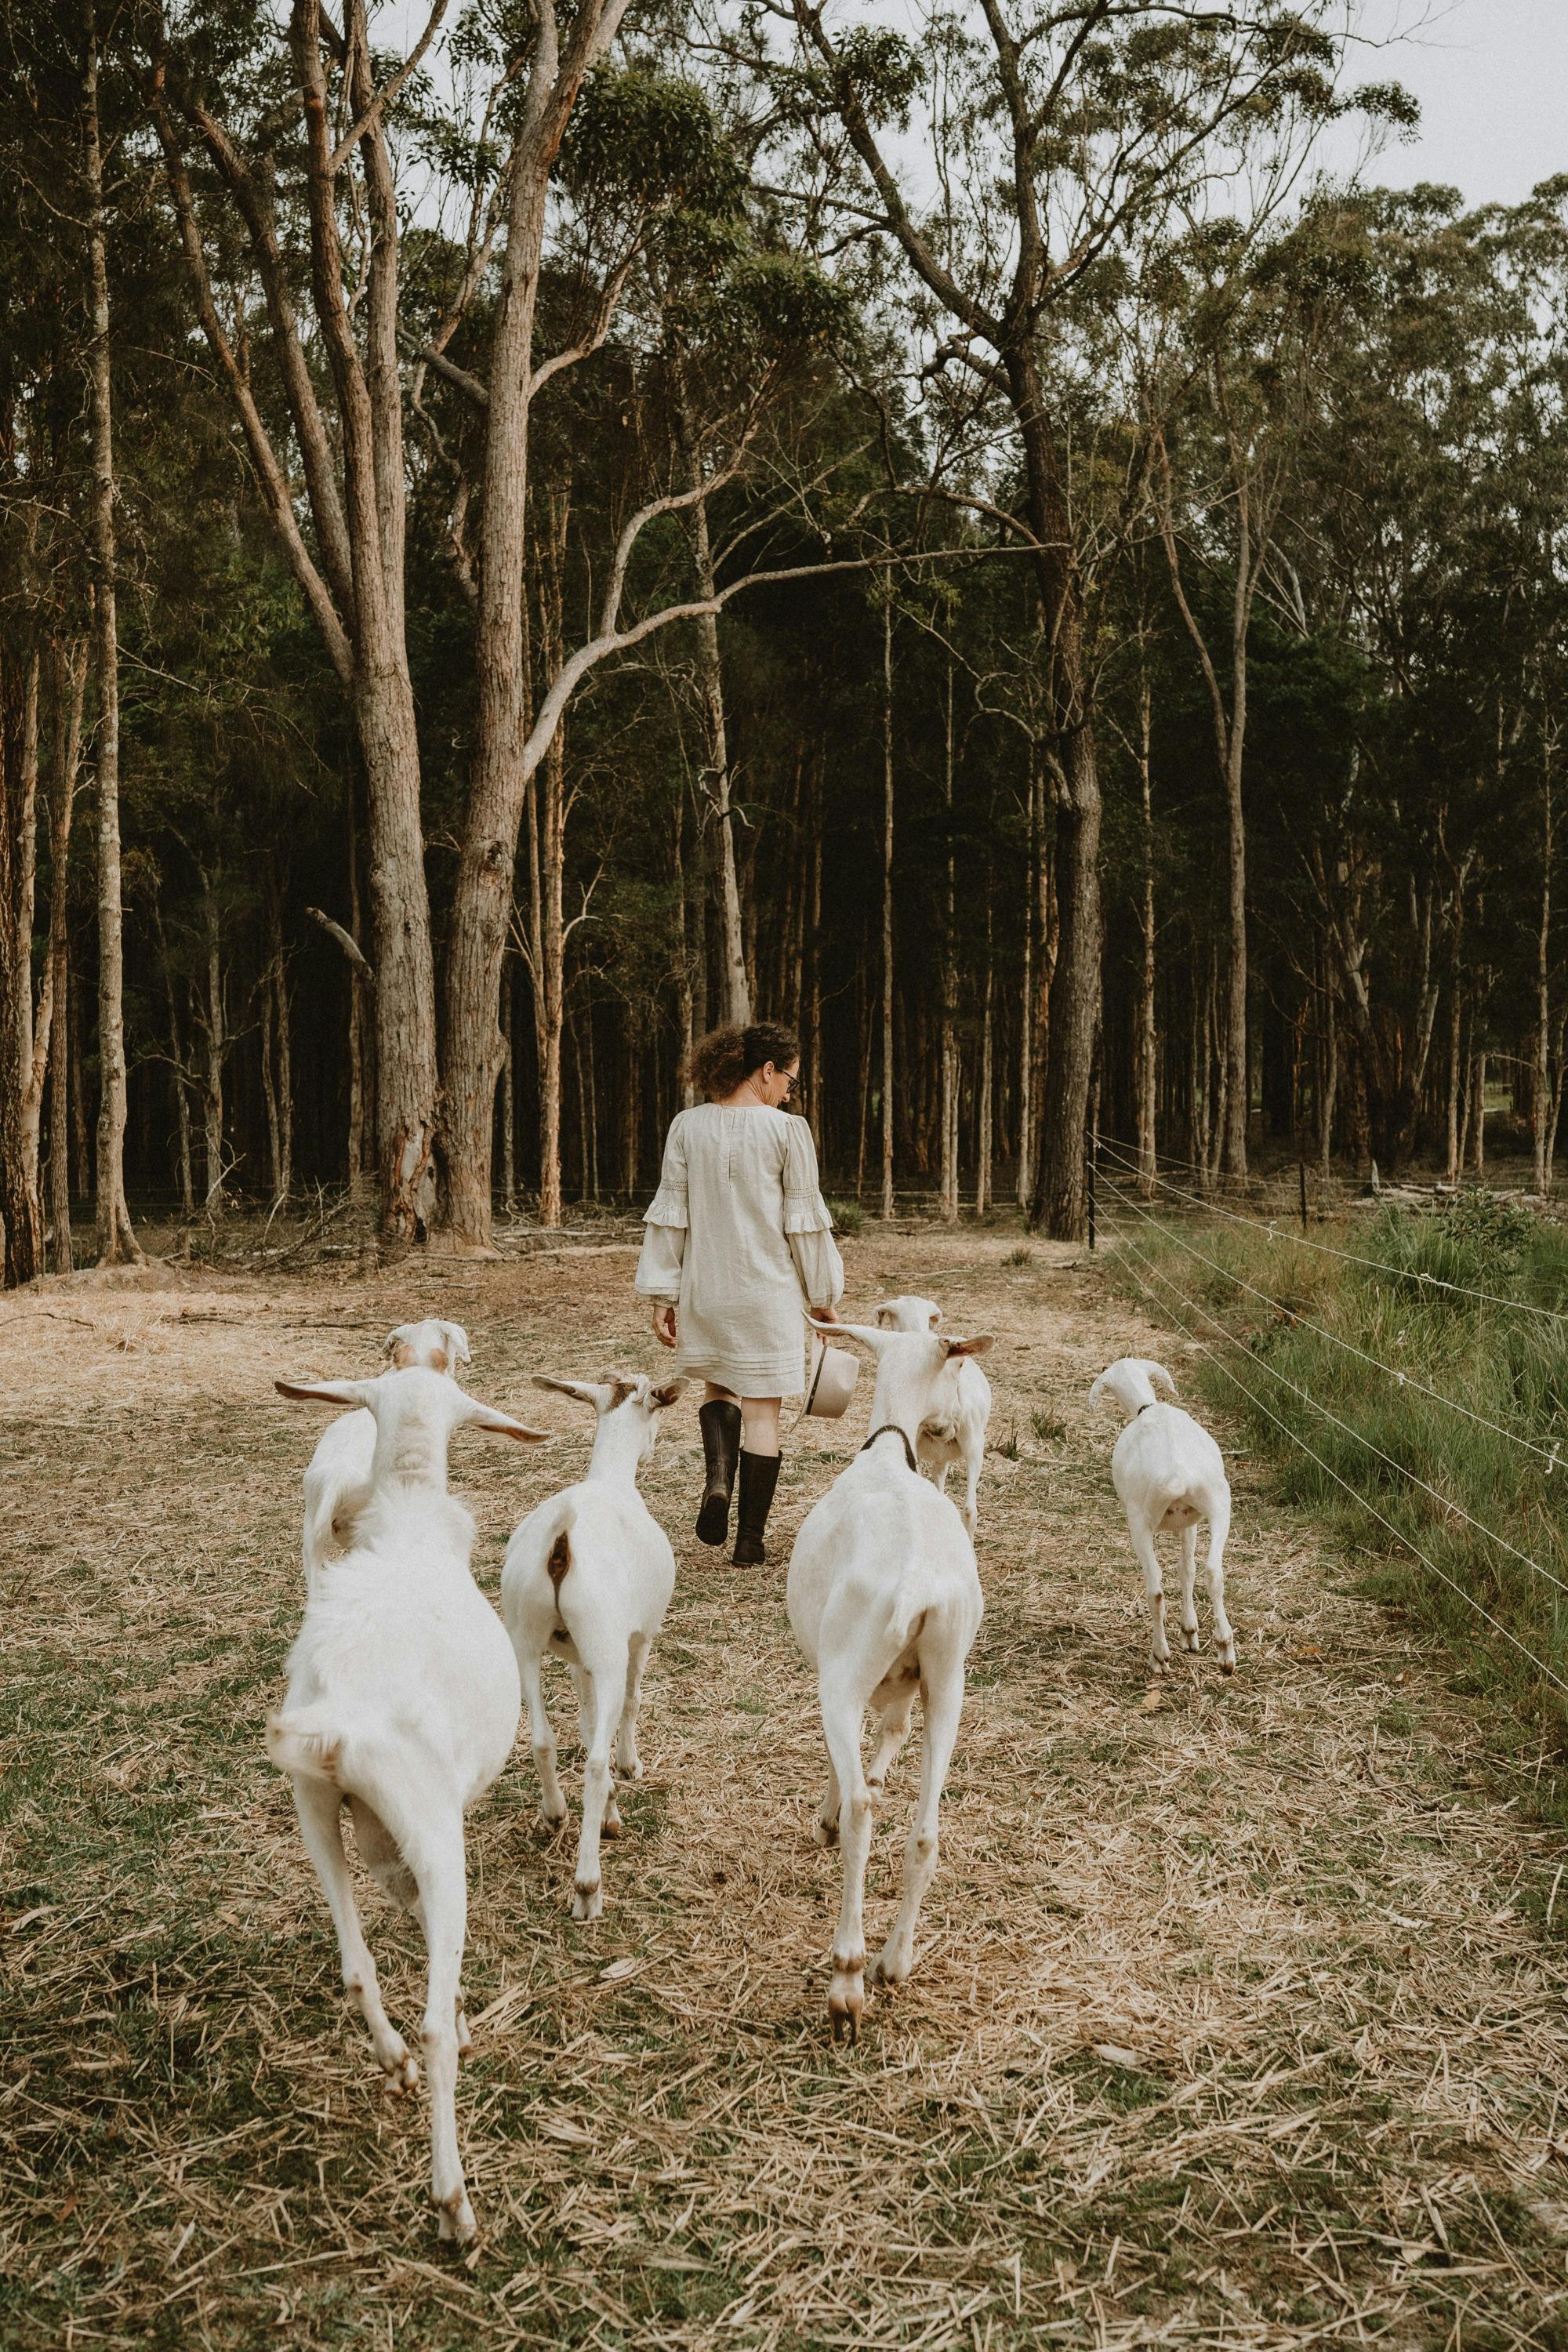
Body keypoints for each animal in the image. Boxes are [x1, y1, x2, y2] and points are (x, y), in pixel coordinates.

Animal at [269, 1365, 548, 2244]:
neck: (408, 1522)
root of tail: (341, 1720)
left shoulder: (378, 1843)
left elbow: (406, 1917)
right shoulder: (420, 1834)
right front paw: (458, 2010)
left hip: (316, 1811)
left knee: (357, 1965)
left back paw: (391, 2060)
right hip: (434, 1830)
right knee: (429, 2021)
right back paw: (453, 2198)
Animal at [501, 1374, 685, 1921]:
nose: (653, 1448)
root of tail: (563, 1540)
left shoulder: (578, 1659)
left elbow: (584, 1722)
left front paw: (609, 1808)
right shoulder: (638, 1637)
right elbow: (631, 1702)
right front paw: (630, 1768)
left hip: (525, 1640)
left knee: (542, 1738)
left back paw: (555, 1814)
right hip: (606, 1647)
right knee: (595, 1762)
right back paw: (587, 1885)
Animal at [1088, 1357, 1235, 1674]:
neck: (1147, 1406)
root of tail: (1177, 1474)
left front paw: (1186, 1633)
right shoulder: (1190, 1521)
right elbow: (1187, 1570)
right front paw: (1190, 1631)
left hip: (1139, 1522)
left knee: (1155, 1590)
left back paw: (1159, 1656)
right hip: (1218, 1504)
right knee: (1213, 1572)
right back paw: (1225, 1650)